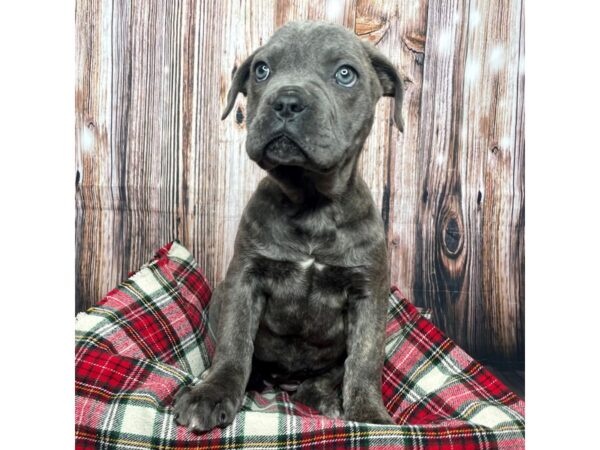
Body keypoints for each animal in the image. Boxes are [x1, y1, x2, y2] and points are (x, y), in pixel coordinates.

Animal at [176, 21, 406, 432]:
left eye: (345, 74)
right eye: (262, 70)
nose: (286, 102)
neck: (311, 203)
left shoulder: (368, 293)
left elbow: (364, 361)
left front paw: (369, 416)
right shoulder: (244, 279)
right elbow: (235, 344)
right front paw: (213, 393)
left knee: (333, 372)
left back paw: (321, 396)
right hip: (220, 297)